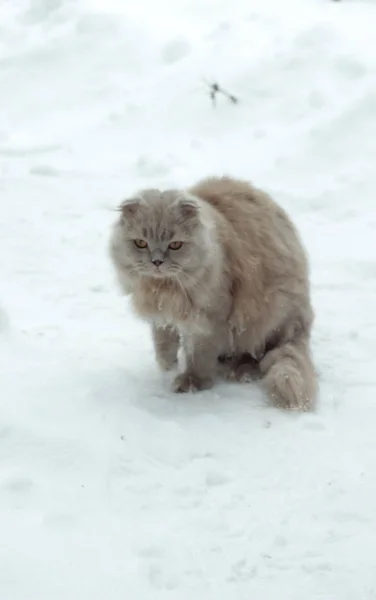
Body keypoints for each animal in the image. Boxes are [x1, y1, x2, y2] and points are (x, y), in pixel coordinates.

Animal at [109, 177, 318, 412]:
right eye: (141, 243)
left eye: (175, 245)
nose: (156, 262)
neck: (163, 290)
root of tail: (302, 323)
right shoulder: (162, 316)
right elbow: (163, 342)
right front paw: (167, 365)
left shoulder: (210, 317)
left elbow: (199, 354)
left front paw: (192, 382)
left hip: (269, 316)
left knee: (259, 355)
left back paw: (240, 370)